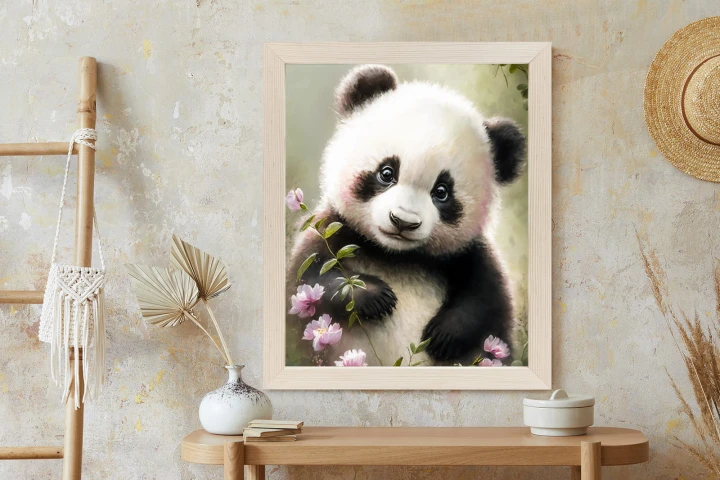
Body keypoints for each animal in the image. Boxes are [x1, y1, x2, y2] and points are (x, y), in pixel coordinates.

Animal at [287, 64, 526, 366]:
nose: (403, 221)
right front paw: (375, 296)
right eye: (387, 172)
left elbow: (486, 300)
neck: (397, 256)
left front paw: (443, 334)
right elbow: (309, 278)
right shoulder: (333, 230)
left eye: (442, 192)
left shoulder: (467, 255)